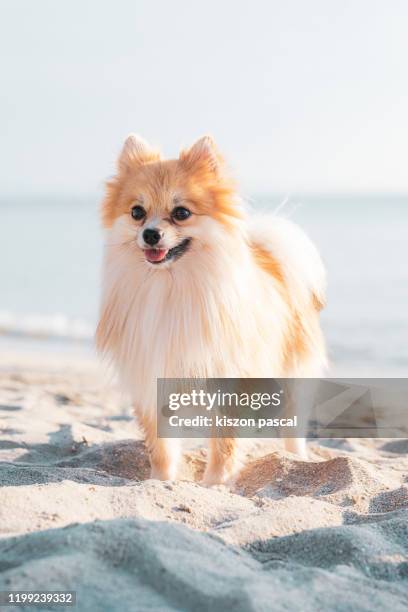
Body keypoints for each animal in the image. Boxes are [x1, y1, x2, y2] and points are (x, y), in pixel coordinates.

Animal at [97, 134, 326, 482]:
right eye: (137, 212)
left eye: (181, 213)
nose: (150, 234)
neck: (170, 286)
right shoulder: (151, 373)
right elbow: (160, 445)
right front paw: (161, 482)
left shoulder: (228, 378)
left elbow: (224, 442)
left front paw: (216, 483)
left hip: (293, 373)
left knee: (293, 422)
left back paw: (296, 458)